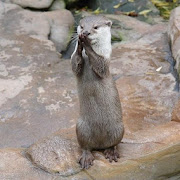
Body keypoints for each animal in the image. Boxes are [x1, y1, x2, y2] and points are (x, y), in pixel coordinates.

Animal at [71, 15, 124, 169]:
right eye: (82, 26)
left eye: (95, 27)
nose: (85, 32)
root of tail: (100, 144)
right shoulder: (74, 64)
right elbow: (74, 65)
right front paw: (80, 43)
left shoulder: (105, 59)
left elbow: (100, 66)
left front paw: (86, 43)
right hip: (81, 127)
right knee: (85, 146)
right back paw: (86, 157)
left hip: (119, 128)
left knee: (114, 143)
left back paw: (111, 152)